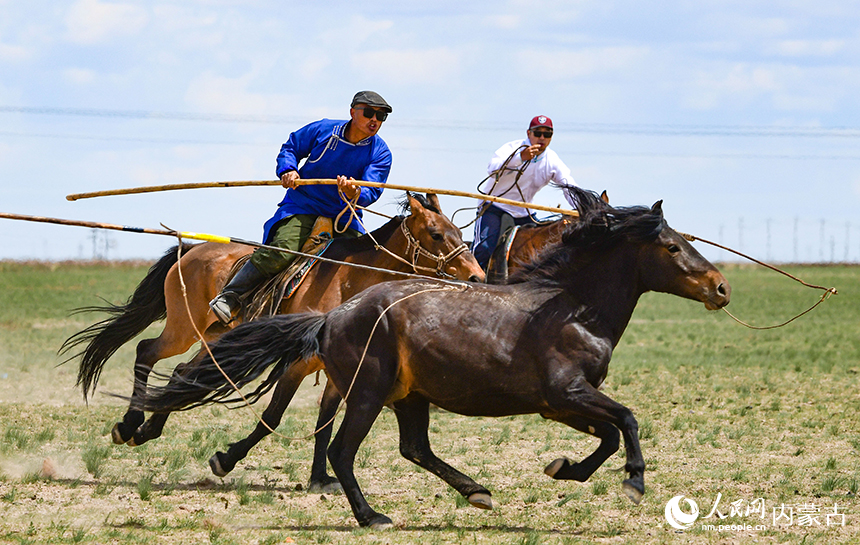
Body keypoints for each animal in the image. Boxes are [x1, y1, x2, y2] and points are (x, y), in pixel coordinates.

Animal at [62, 193, 484, 490]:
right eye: (436, 234)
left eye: (460, 233)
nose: (478, 277)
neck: (349, 278)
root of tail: (192, 248)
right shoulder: (298, 363)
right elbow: (273, 416)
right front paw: (226, 459)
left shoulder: (339, 370)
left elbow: (324, 422)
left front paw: (320, 478)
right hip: (183, 329)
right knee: (146, 352)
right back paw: (129, 424)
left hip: (216, 337)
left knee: (183, 373)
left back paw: (148, 429)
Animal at [134, 187, 731, 528]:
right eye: (673, 247)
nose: (721, 287)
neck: (567, 306)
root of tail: (333, 318)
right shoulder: (567, 392)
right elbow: (627, 420)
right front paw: (633, 482)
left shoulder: (561, 404)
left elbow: (607, 433)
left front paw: (565, 469)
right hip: (365, 390)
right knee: (345, 450)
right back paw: (371, 516)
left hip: (408, 395)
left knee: (413, 448)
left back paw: (476, 492)